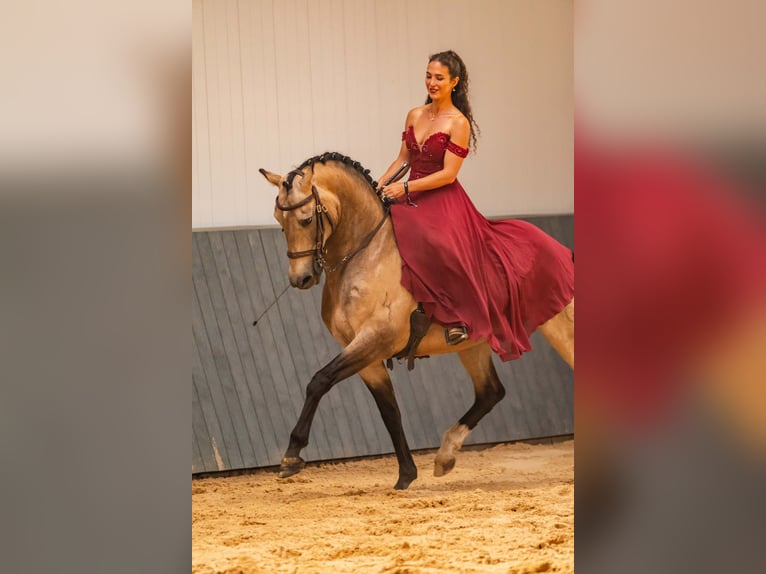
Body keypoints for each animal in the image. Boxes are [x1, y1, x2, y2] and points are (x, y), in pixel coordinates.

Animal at [260, 152, 572, 490]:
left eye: (305, 219)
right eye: (279, 222)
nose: (300, 279)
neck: (367, 255)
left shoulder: (374, 339)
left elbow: (319, 381)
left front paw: (292, 455)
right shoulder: (366, 354)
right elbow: (389, 411)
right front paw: (406, 475)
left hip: (562, 328)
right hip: (472, 345)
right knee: (491, 392)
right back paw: (445, 456)